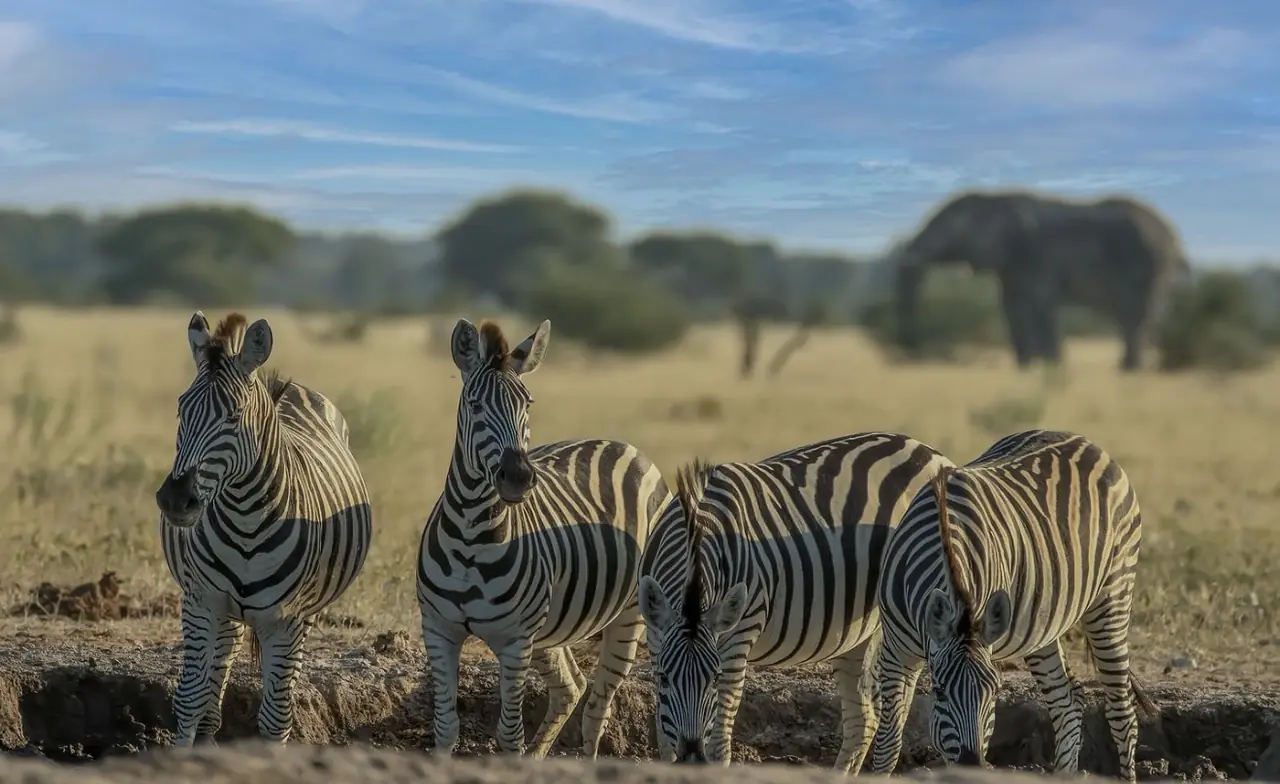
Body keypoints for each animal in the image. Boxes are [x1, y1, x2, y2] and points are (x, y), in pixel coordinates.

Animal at [891, 189, 1192, 371]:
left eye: (953, 227)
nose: (913, 349)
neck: (995, 198)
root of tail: (1174, 237)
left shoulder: (1035, 254)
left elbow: (1040, 305)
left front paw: (1053, 369)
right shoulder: (1012, 264)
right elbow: (1012, 309)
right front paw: (1025, 370)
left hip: (1149, 264)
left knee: (1135, 317)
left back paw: (1128, 371)